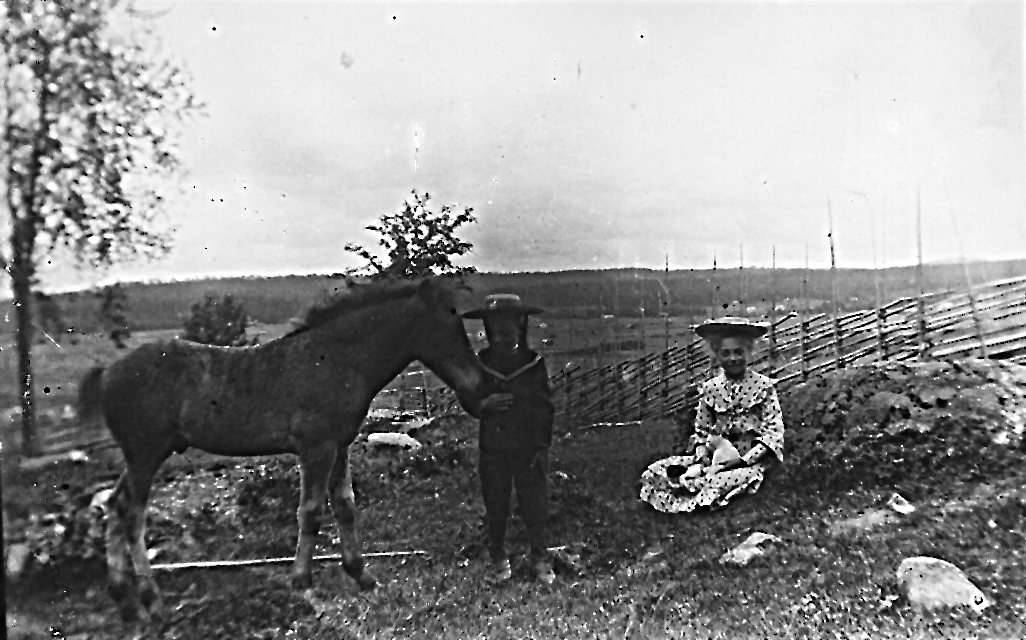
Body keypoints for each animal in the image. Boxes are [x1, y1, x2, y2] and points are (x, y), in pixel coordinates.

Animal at [77, 277, 483, 622]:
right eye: (448, 323)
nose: (477, 387)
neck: (333, 359)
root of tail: (108, 372)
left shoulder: (340, 445)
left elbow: (345, 506)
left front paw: (362, 576)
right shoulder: (316, 448)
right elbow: (311, 513)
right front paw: (303, 588)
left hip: (138, 457)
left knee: (115, 504)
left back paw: (126, 601)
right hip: (146, 455)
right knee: (132, 514)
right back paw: (152, 601)